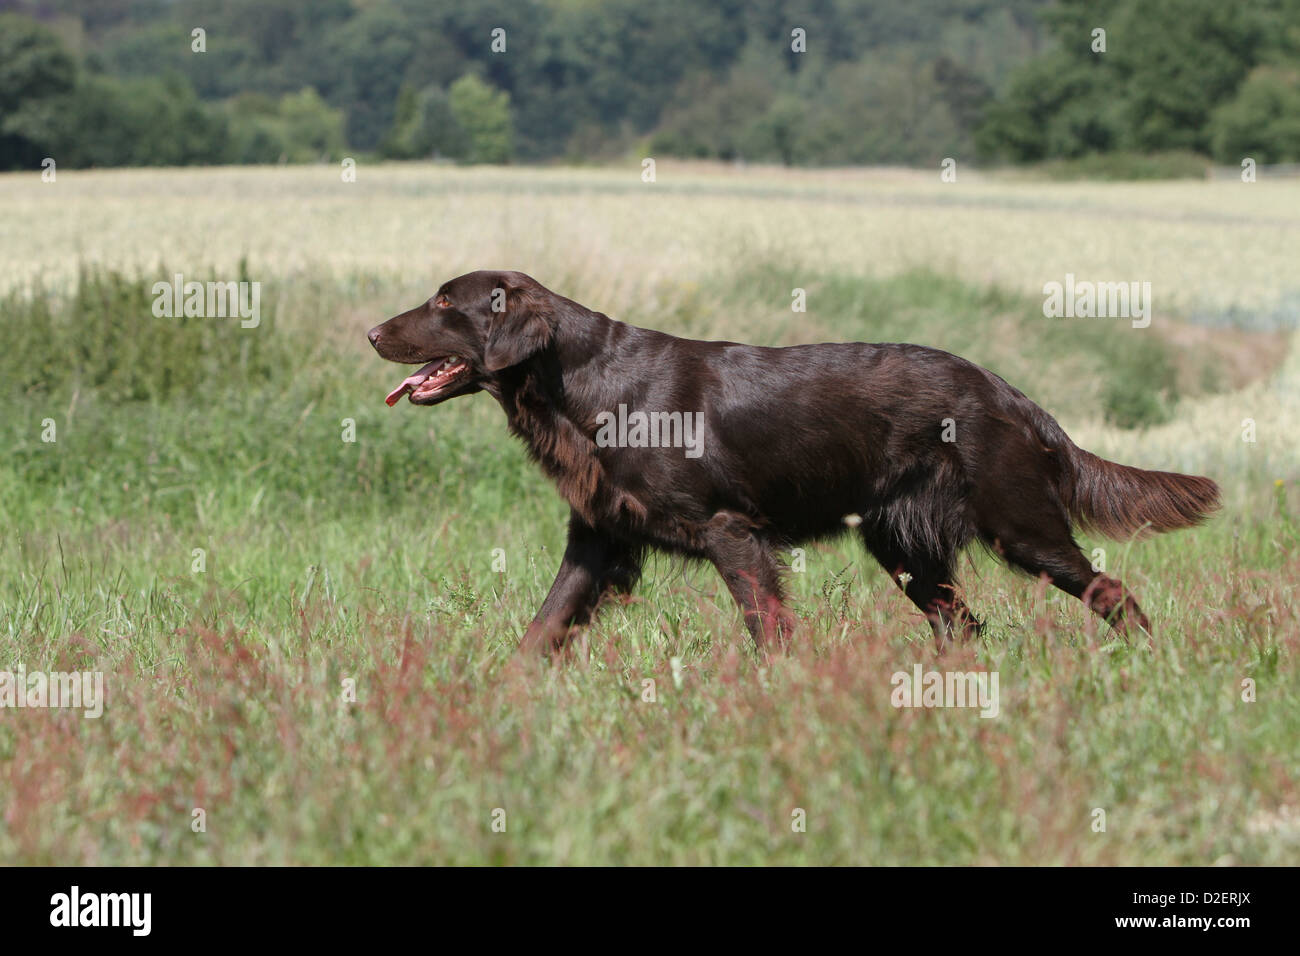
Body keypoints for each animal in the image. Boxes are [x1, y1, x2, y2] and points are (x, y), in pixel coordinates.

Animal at [369, 273, 1216, 655]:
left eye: (445, 305)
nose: (373, 332)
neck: (582, 384)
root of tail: (1008, 390)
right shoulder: (598, 537)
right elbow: (540, 630)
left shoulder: (730, 531)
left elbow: (765, 626)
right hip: (905, 545)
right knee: (964, 624)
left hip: (1020, 524)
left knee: (1111, 590)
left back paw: (1148, 662)